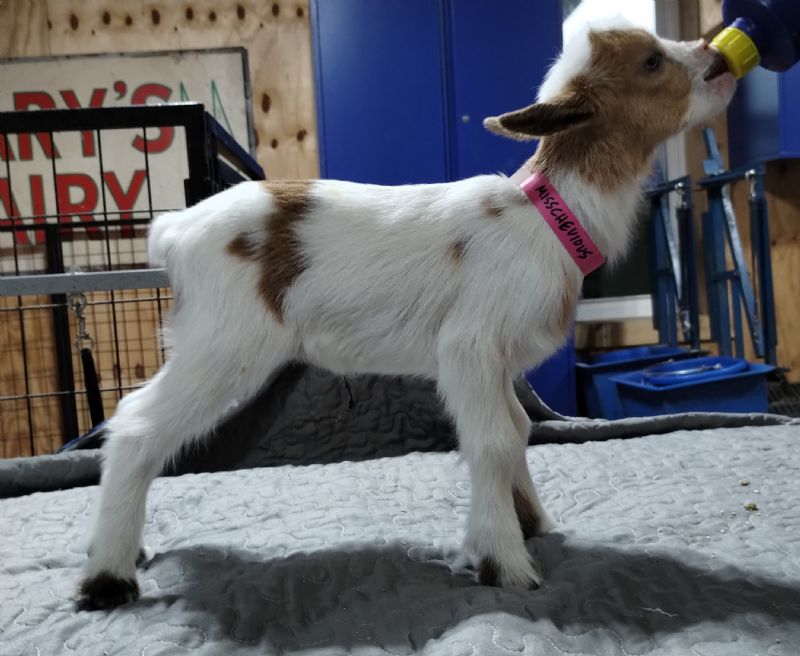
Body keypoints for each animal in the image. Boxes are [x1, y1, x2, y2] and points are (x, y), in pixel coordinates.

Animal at [77, 21, 735, 610]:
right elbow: (494, 441)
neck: (547, 217)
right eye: (650, 62)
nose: (718, 57)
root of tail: (173, 231)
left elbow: (519, 429)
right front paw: (505, 562)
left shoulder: (498, 365)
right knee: (136, 423)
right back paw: (108, 576)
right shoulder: (469, 347)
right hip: (226, 345)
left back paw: (126, 550)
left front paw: (528, 523)